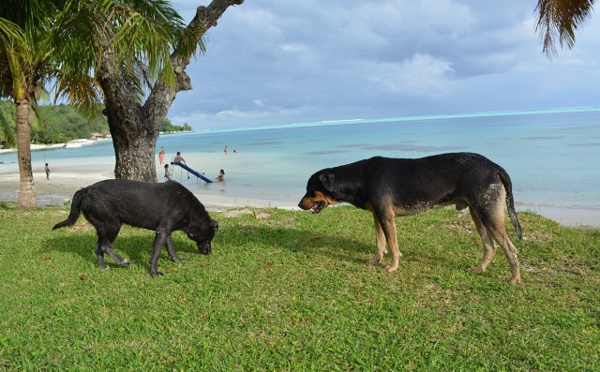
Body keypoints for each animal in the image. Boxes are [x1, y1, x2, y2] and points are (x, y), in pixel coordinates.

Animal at [52, 180, 219, 276]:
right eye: (210, 238)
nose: (209, 252)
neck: (189, 208)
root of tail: (86, 189)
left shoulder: (166, 231)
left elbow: (171, 249)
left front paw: (177, 260)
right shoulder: (162, 231)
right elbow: (156, 254)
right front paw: (153, 272)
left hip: (102, 228)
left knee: (98, 248)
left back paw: (104, 267)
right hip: (113, 225)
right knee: (105, 247)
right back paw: (122, 262)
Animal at [298, 153, 524, 284]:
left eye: (310, 190)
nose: (299, 205)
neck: (361, 178)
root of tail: (495, 167)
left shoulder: (386, 217)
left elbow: (392, 245)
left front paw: (392, 267)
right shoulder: (377, 215)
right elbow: (380, 243)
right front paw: (375, 261)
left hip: (488, 213)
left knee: (510, 248)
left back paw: (515, 278)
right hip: (478, 214)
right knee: (490, 246)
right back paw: (480, 269)